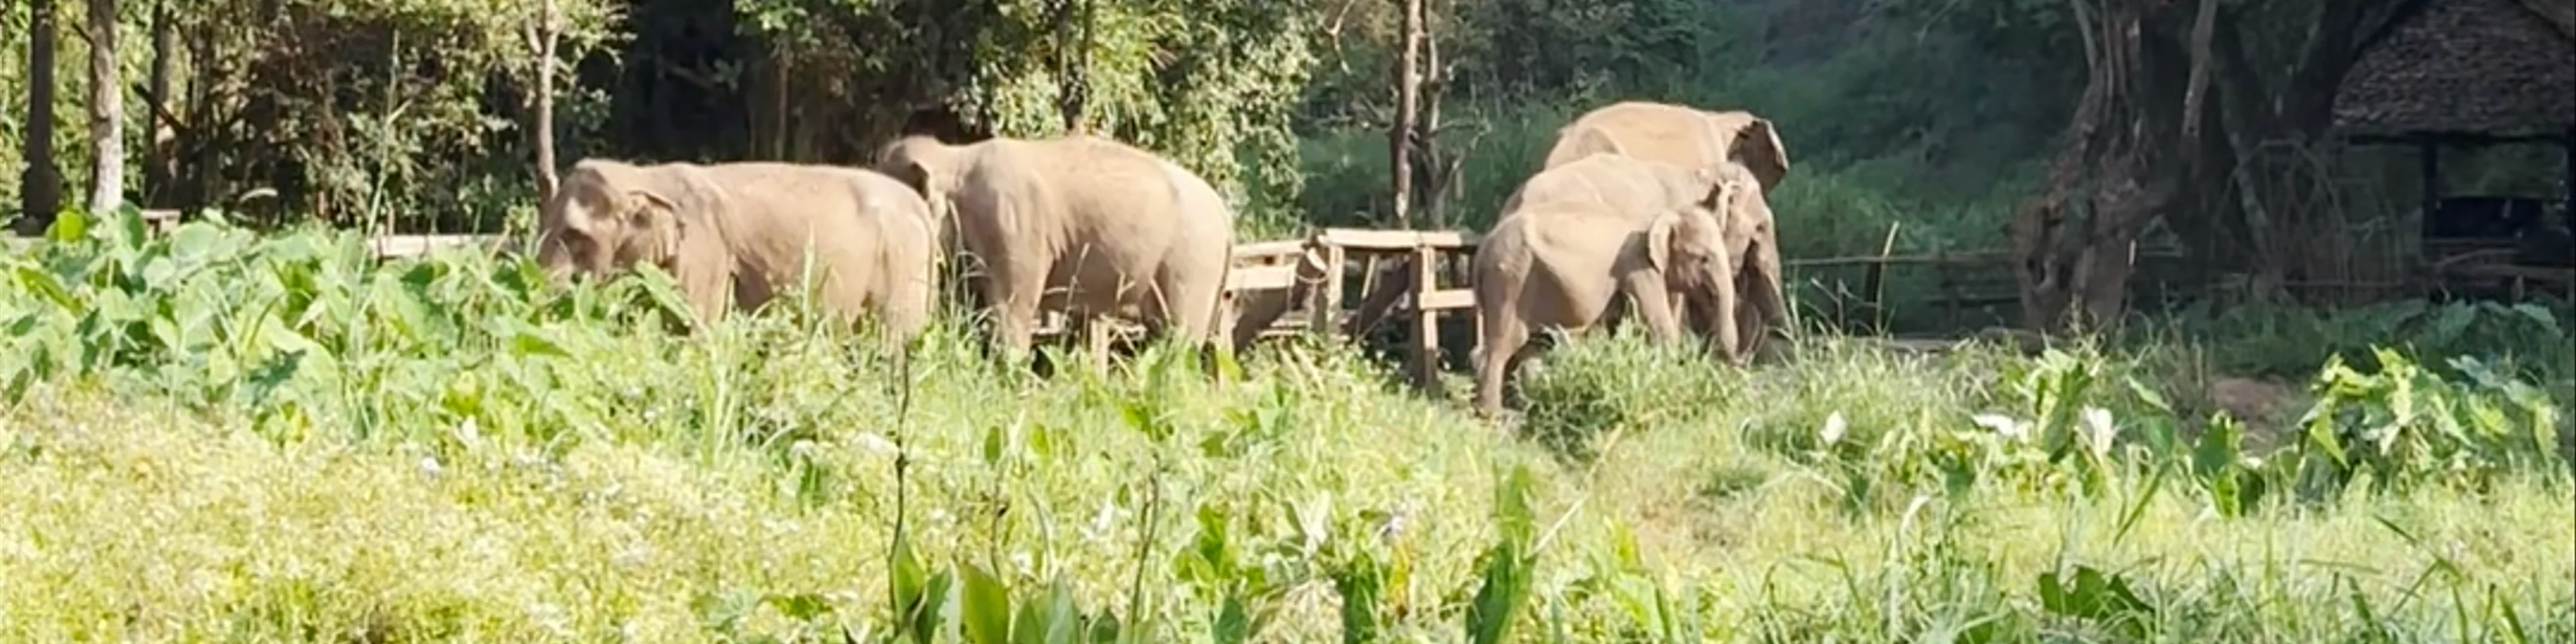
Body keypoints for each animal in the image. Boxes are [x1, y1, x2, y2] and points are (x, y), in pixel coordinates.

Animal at [533, 158, 940, 350]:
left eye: (575, 236)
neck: (645, 176)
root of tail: (920, 205)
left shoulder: (705, 251)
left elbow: (693, 324)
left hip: (900, 267)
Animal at [874, 133, 1235, 361]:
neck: (955, 156)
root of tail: (1223, 211)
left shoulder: (1015, 227)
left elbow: (1012, 307)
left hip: (1191, 261)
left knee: (1180, 338)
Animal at [1469, 177, 1747, 417]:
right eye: (1703, 258)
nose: (1734, 374)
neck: (1661, 215)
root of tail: (1483, 250)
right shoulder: (1639, 267)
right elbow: (1659, 327)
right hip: (1510, 279)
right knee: (1505, 345)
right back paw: (1494, 415)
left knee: (1533, 344)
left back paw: (1534, 405)